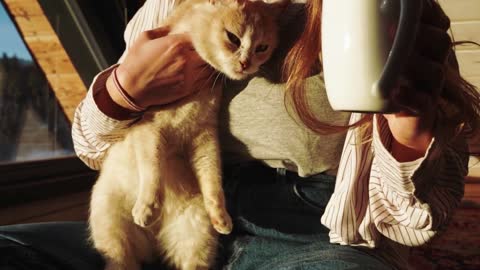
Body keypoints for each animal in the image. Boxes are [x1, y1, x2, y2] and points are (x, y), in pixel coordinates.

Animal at [88, 0, 284, 268]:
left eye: (262, 48)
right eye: (233, 38)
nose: (246, 64)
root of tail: (153, 242)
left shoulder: (205, 139)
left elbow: (212, 182)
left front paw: (221, 216)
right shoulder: (150, 132)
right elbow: (153, 171)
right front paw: (148, 206)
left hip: (196, 242)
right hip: (115, 240)